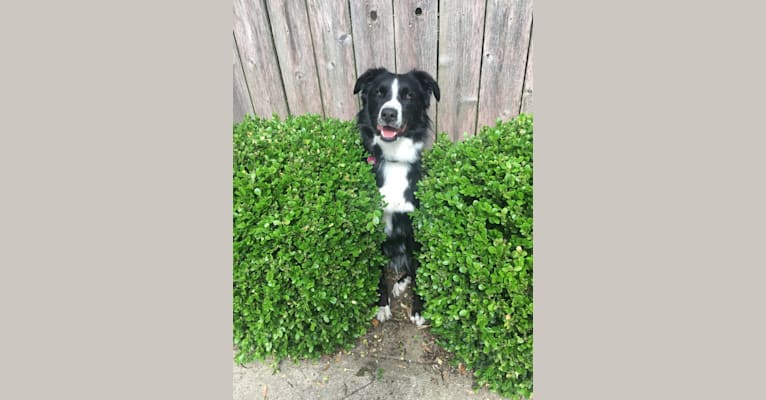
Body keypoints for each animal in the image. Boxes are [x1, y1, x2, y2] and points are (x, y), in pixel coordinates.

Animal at [356, 68, 440, 324]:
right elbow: (378, 276)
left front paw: (419, 308)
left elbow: (421, 273)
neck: (393, 160)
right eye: (379, 93)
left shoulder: (416, 228)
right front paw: (381, 305)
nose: (389, 113)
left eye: (408, 95)